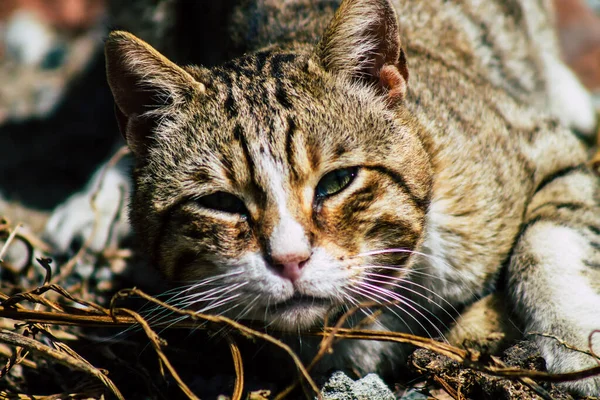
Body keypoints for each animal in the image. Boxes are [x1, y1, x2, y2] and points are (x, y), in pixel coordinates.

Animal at [44, 0, 596, 396]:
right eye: (223, 204)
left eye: (337, 182)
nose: (289, 260)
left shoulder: (548, 151)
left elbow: (545, 245)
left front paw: (577, 347)